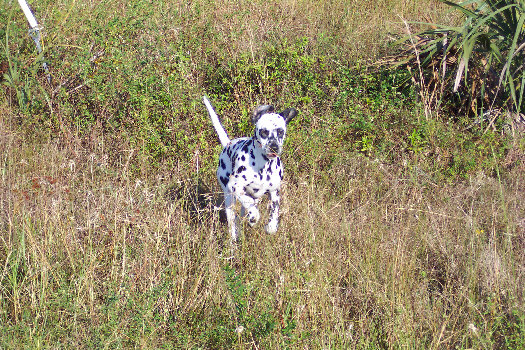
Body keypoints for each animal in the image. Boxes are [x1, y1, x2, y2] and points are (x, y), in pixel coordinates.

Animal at [203, 96, 296, 243]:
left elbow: (274, 213)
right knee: (234, 220)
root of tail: (228, 143)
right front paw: (254, 216)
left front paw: (271, 226)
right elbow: (249, 205)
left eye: (281, 131)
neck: (264, 167)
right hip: (229, 197)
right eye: (264, 132)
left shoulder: (274, 193)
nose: (274, 147)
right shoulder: (235, 186)